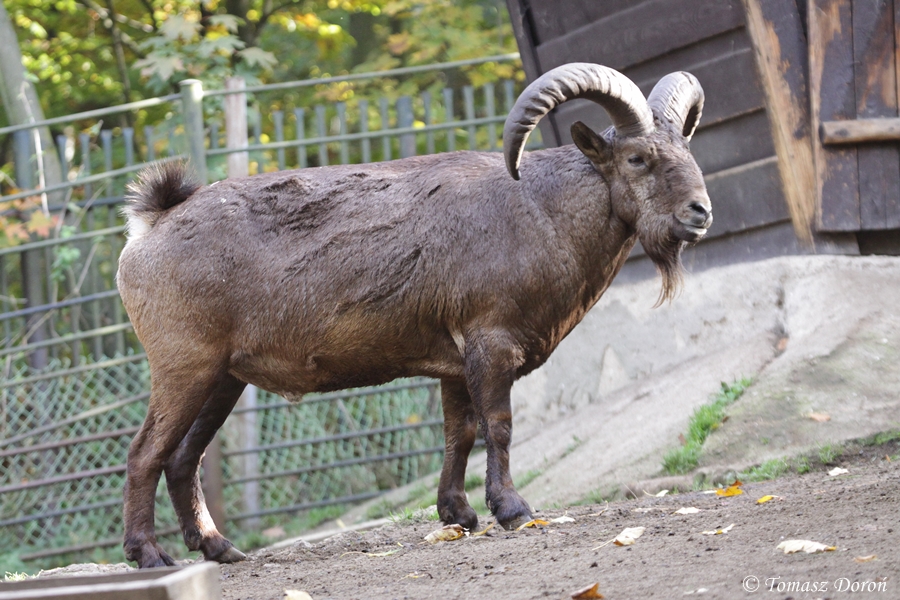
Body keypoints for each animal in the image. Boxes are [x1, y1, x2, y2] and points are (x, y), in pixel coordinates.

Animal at [117, 63, 711, 568]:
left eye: (686, 149)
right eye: (637, 158)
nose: (700, 212)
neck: (540, 209)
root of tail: (149, 229)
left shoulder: (455, 361)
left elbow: (460, 432)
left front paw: (459, 514)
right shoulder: (490, 341)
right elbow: (498, 425)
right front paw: (513, 511)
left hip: (224, 378)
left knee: (182, 458)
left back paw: (219, 547)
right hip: (184, 367)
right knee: (145, 453)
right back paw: (149, 555)